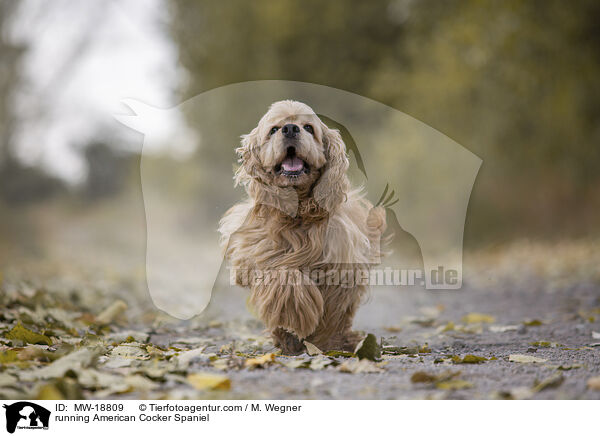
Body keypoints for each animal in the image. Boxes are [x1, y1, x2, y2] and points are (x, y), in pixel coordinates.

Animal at [218, 99, 386, 354]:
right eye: (274, 129)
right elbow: (283, 274)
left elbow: (332, 311)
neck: (298, 212)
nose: (290, 129)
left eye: (308, 127)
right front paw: (293, 316)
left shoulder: (341, 266)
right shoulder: (259, 253)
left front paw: (323, 341)